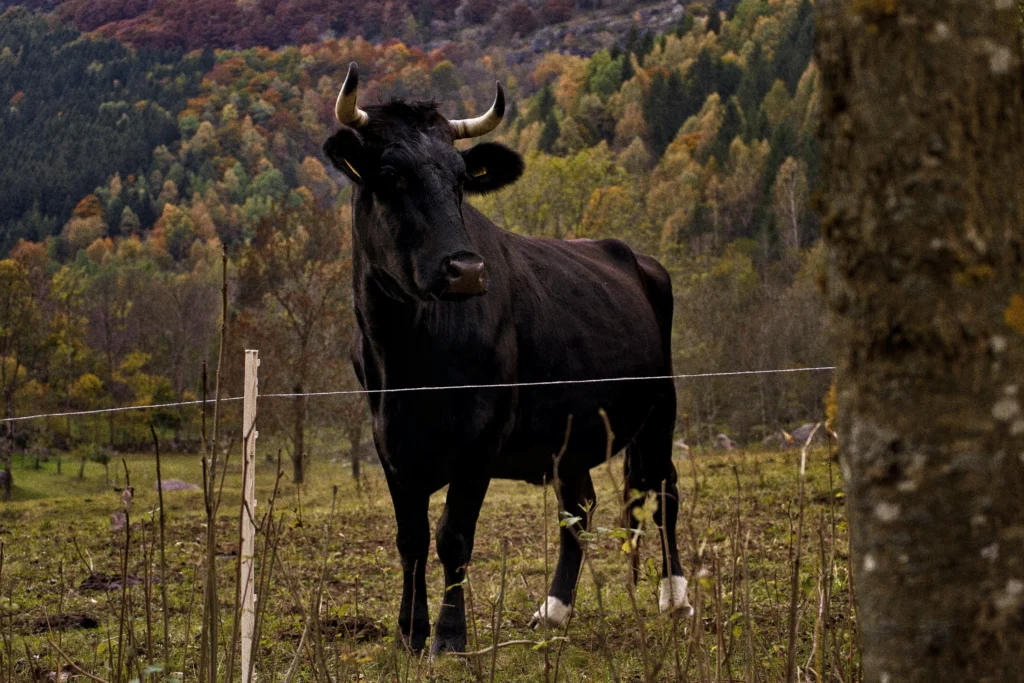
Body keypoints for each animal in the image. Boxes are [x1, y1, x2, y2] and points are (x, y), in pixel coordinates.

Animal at [322, 63, 691, 655]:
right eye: (390, 173)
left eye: (460, 179)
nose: (467, 270)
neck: (406, 358)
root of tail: (632, 255)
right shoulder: (389, 443)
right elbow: (410, 539)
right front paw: (409, 633)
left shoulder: (482, 435)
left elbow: (453, 536)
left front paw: (449, 638)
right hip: (571, 432)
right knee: (579, 509)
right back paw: (554, 610)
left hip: (661, 407)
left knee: (664, 490)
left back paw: (675, 598)